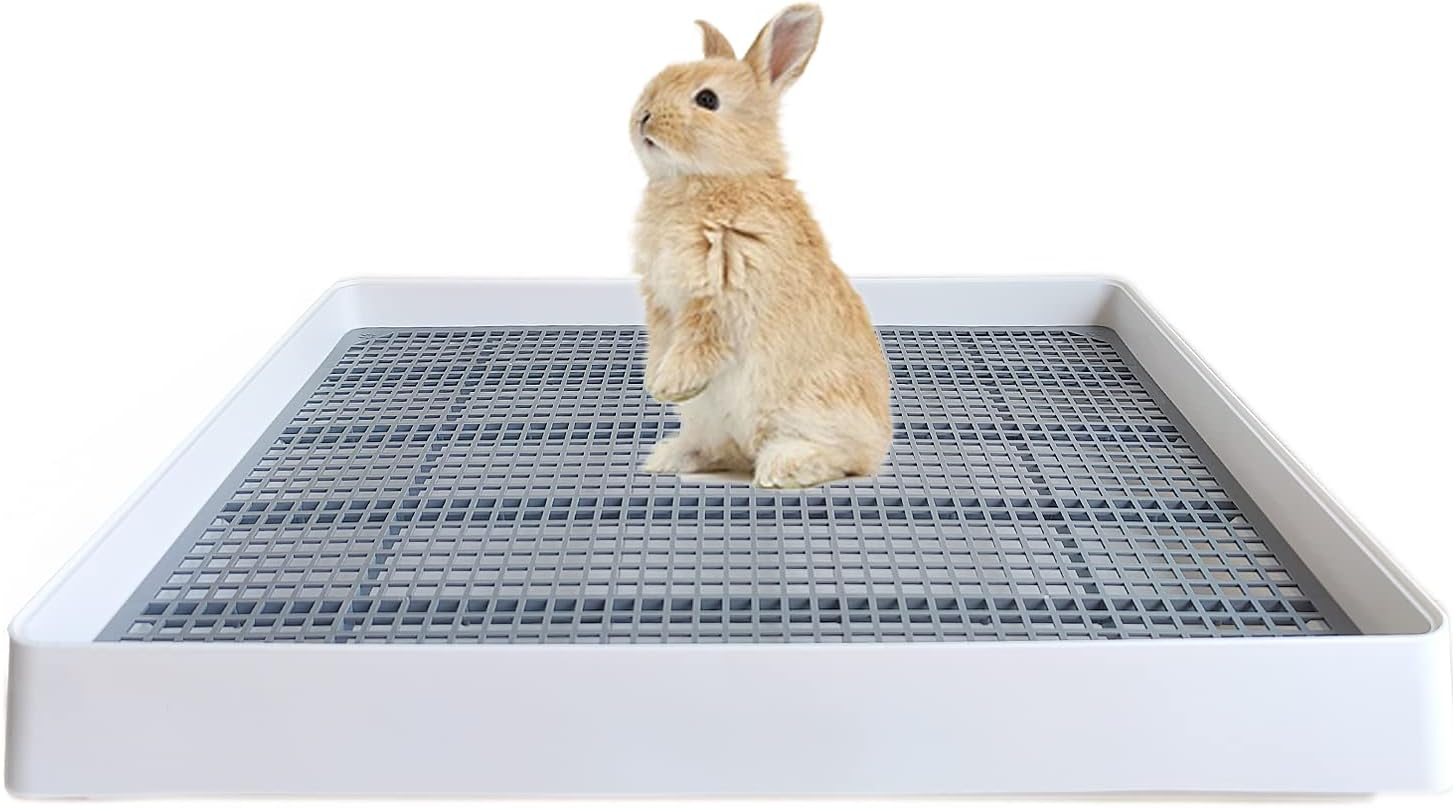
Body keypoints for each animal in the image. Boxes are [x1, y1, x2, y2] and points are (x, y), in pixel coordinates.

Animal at [631, 4, 892, 489]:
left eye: (707, 100)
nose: (643, 116)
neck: (714, 178)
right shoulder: (660, 302)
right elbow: (662, 342)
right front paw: (656, 383)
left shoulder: (720, 293)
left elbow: (698, 342)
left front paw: (670, 385)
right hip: (712, 424)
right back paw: (669, 457)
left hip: (813, 409)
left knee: (844, 457)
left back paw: (781, 466)